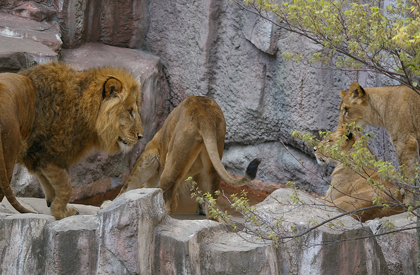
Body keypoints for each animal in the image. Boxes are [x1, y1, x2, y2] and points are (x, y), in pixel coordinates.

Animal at [16, 62, 144, 220]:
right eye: (130, 111)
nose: (141, 136)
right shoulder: (51, 152)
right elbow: (66, 188)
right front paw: (61, 213)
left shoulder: (39, 156)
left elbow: (47, 182)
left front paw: (53, 203)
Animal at [115, 96, 260, 217]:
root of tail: (204, 112)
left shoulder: (150, 153)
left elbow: (129, 187)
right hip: (214, 155)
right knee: (211, 202)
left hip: (174, 157)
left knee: (164, 198)